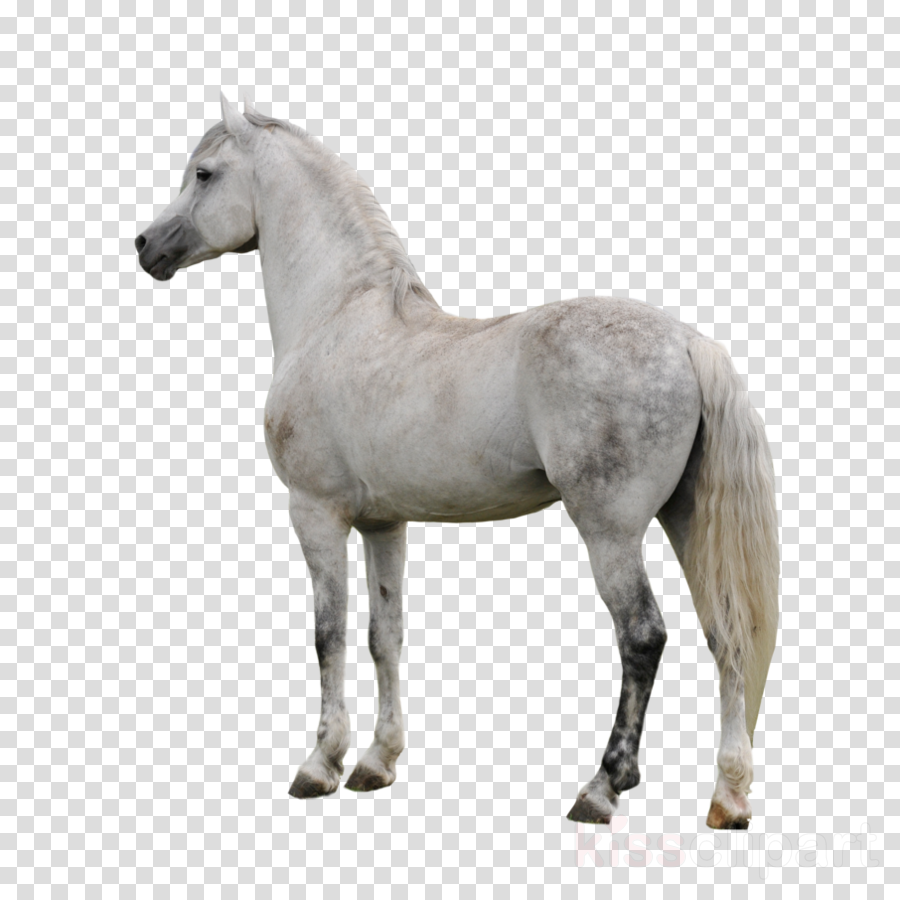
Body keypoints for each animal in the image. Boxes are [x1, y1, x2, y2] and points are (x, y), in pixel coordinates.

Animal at [135, 92, 781, 831]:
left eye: (204, 174)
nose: (149, 248)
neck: (339, 317)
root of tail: (686, 343)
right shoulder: (383, 524)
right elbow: (384, 633)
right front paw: (376, 763)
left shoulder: (317, 512)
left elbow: (330, 632)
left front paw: (319, 765)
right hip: (688, 520)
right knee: (728, 636)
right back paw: (728, 795)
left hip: (611, 530)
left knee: (643, 636)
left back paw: (602, 787)